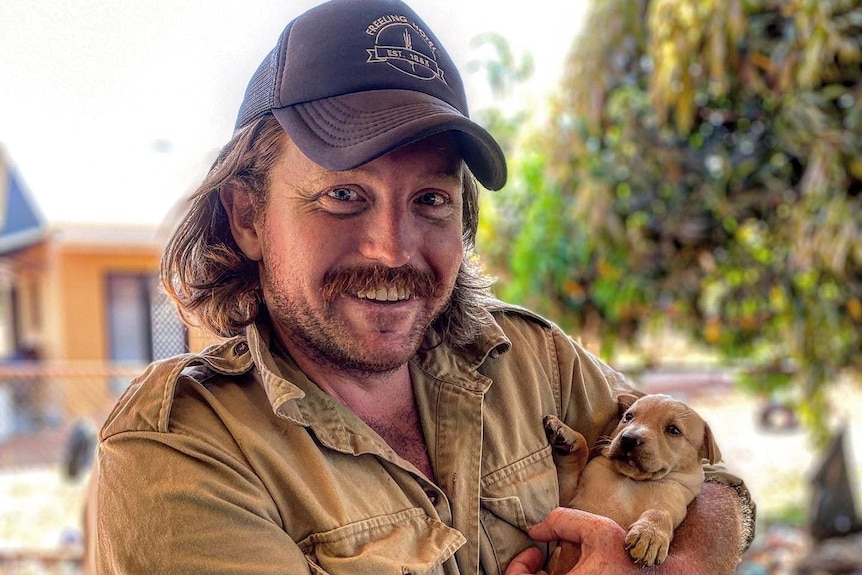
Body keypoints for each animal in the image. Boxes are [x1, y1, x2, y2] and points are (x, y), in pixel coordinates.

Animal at [548, 394, 724, 572]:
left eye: (674, 430)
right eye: (628, 417)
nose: (629, 439)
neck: (632, 479)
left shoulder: (675, 503)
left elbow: (661, 512)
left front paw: (650, 534)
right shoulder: (568, 501)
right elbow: (578, 455)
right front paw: (566, 433)